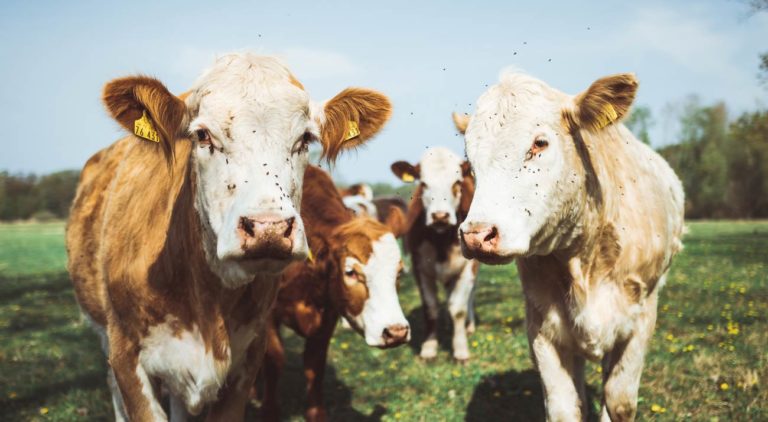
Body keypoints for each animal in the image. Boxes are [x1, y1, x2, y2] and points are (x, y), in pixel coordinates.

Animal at [259, 165, 409, 421]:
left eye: (399, 272)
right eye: (350, 272)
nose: (396, 332)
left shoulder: (328, 315)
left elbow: (314, 364)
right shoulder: (266, 316)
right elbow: (273, 359)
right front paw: (269, 411)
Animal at [390, 147, 479, 363]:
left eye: (457, 182)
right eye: (423, 183)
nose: (440, 216)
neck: (442, 242)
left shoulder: (468, 268)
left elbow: (458, 309)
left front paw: (460, 349)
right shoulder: (419, 268)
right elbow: (430, 308)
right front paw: (429, 348)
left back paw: (469, 325)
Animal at [456, 71, 684, 421]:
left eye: (540, 143)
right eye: (469, 161)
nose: (476, 235)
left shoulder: (641, 316)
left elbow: (620, 402)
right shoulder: (542, 324)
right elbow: (564, 407)